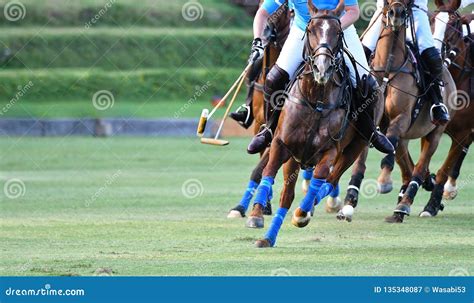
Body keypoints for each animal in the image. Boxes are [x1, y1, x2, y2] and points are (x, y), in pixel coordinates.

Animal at [342, 0, 458, 223]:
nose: (396, 13)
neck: (388, 68)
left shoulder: (401, 118)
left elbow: (391, 142)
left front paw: (384, 181)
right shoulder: (371, 121)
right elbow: (360, 160)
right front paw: (349, 201)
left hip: (435, 132)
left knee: (418, 168)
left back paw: (404, 205)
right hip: (407, 139)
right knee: (407, 166)